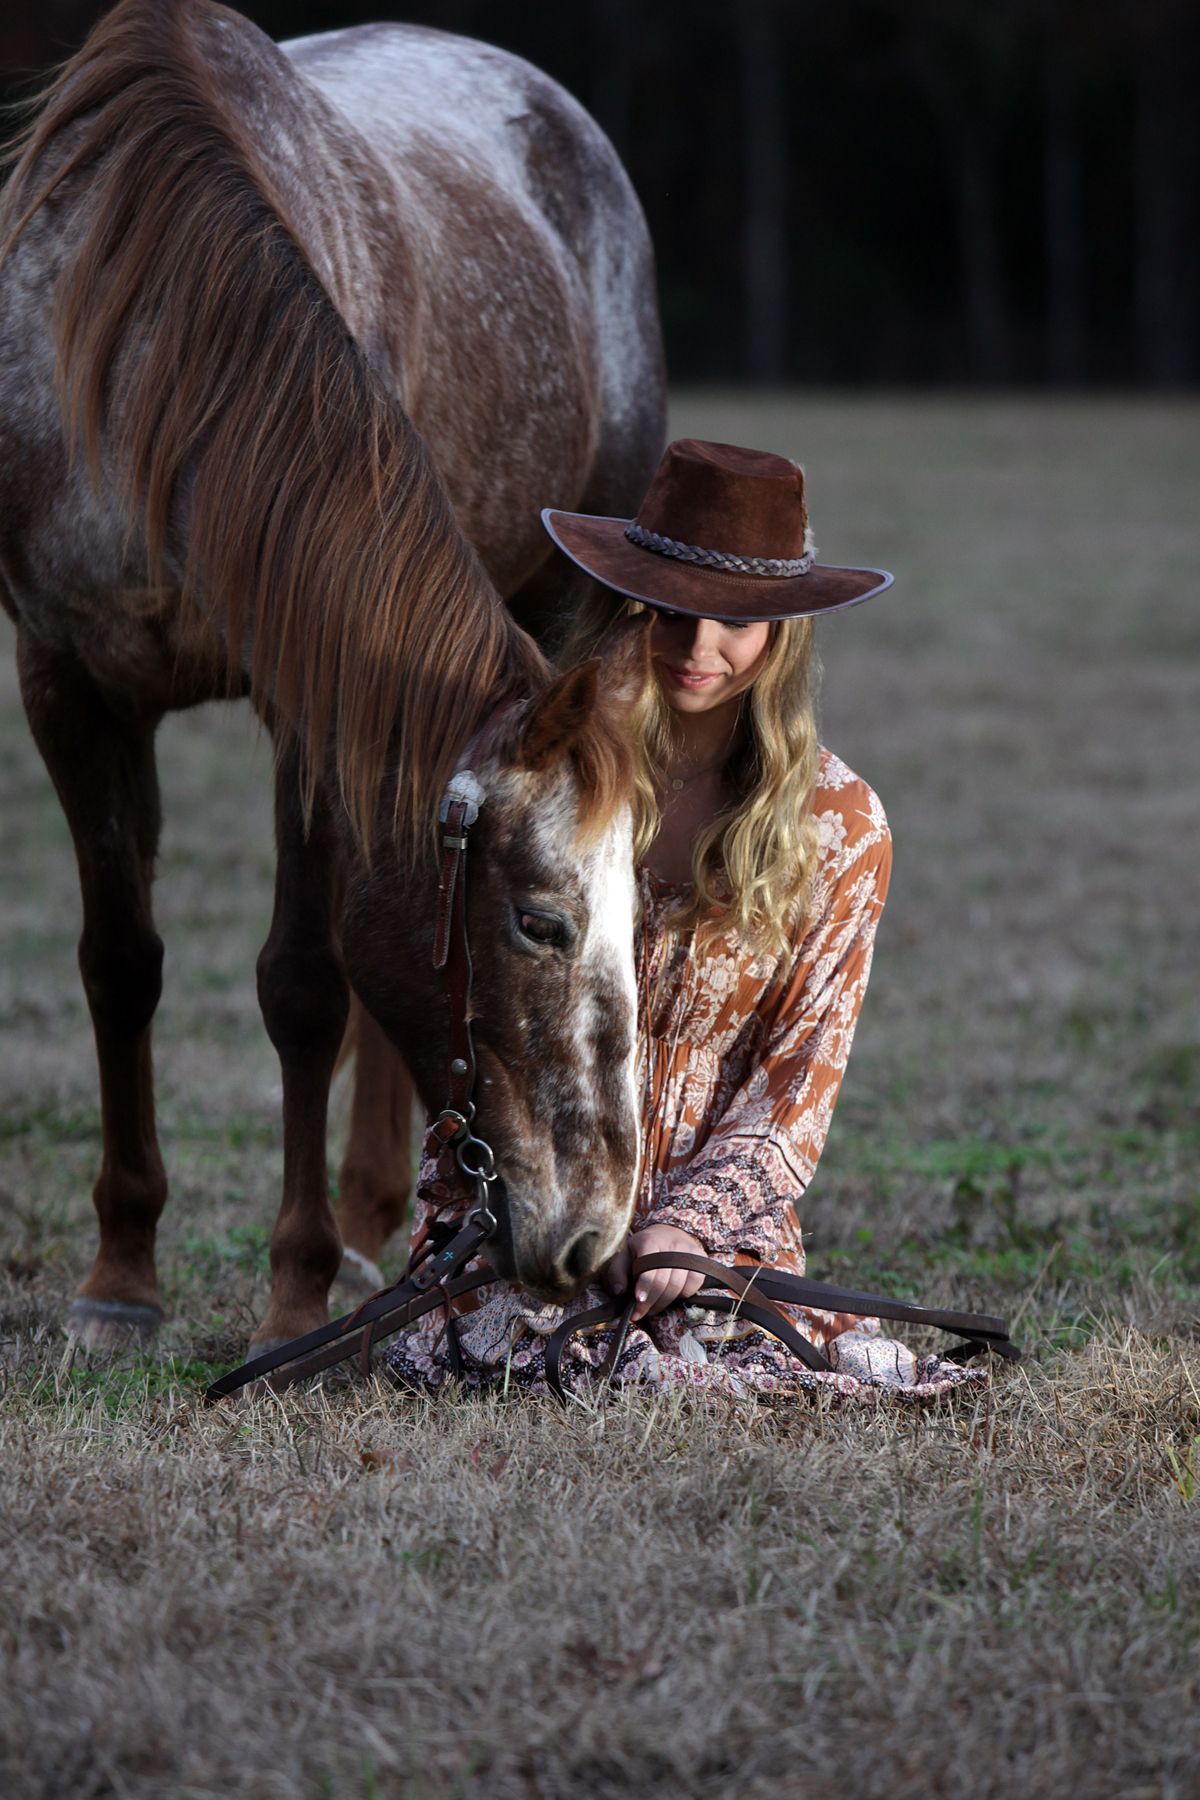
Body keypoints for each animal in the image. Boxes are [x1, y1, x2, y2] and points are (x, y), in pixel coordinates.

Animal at [0, 0, 667, 1352]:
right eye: (542, 923)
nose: (594, 1235)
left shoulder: (312, 701)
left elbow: (304, 985)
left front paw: (292, 1291)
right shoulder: (64, 682)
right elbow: (120, 964)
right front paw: (120, 1279)